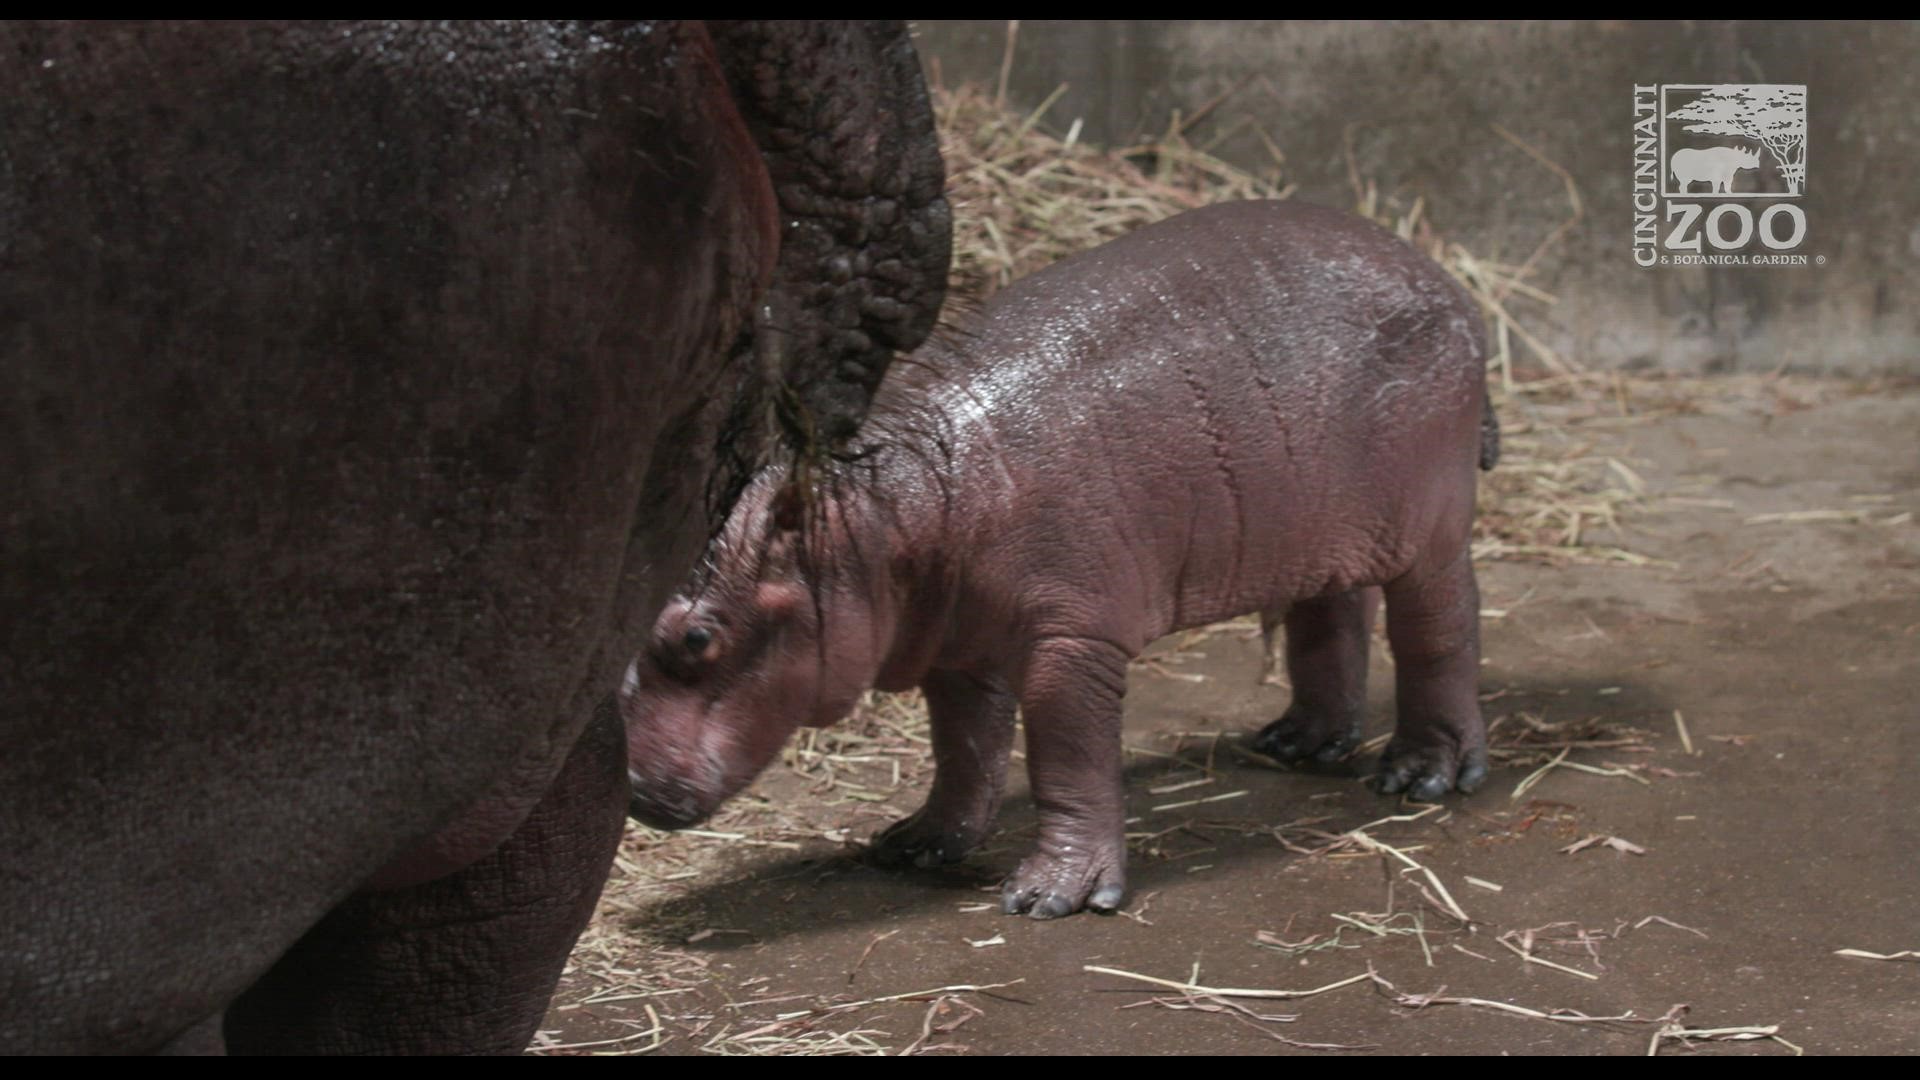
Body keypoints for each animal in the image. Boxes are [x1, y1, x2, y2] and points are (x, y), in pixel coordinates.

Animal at [621, 199, 1497, 919]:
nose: (625, 786)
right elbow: (964, 748)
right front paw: (913, 844)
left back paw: (1422, 775)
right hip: (1318, 519)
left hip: (1429, 528)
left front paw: (1051, 897)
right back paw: (1298, 743)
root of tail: (1448, 283)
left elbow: (1067, 759)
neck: (885, 510)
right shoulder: (959, 643)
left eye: (696, 637)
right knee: (1334, 610)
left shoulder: (1071, 641)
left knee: (1440, 630)